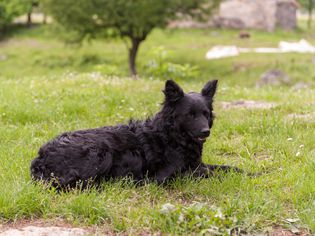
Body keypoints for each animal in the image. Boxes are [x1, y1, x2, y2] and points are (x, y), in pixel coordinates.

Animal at [30, 80, 244, 189]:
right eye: (190, 115)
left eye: (205, 114)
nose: (206, 131)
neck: (172, 136)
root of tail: (41, 157)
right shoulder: (169, 175)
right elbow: (209, 173)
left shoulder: (197, 164)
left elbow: (229, 168)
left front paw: (250, 173)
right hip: (101, 154)